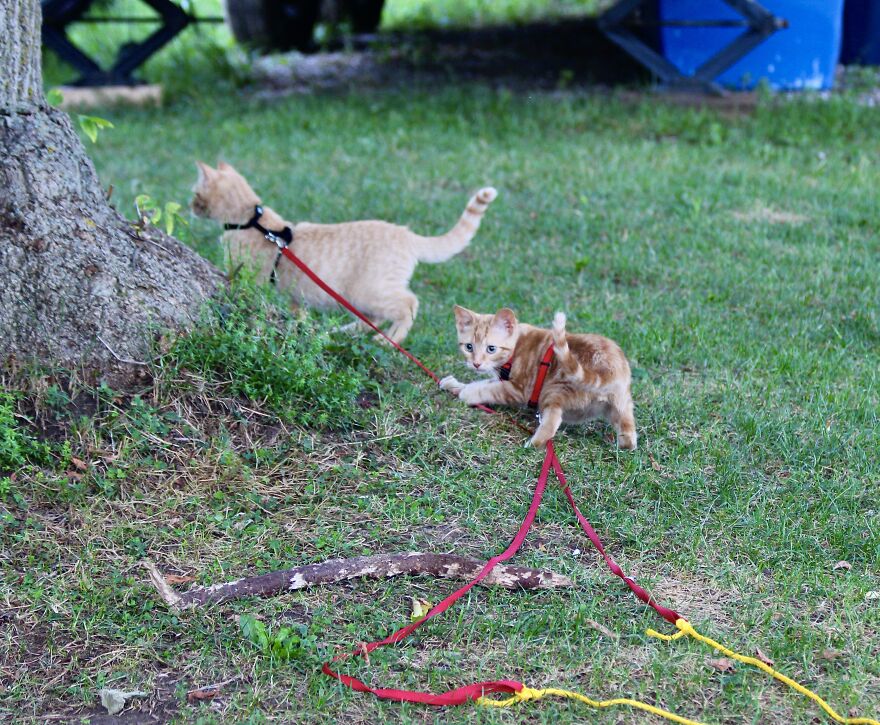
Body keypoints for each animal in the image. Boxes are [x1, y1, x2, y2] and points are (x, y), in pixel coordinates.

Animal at [192, 163, 496, 344]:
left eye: (195, 194)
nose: (191, 206)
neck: (254, 221)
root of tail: (406, 234)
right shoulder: (295, 296)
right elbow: (298, 313)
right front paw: (300, 327)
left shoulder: (248, 278)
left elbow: (240, 289)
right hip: (359, 298)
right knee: (372, 319)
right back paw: (339, 333)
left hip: (368, 291)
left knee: (408, 304)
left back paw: (387, 340)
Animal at [444, 308, 636, 450]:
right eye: (469, 347)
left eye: (491, 349)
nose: (476, 364)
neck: (516, 346)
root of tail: (608, 368)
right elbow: (484, 382)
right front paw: (454, 385)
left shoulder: (518, 389)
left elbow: (488, 388)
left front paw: (467, 393)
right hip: (621, 404)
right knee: (629, 434)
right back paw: (623, 446)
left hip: (553, 389)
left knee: (552, 422)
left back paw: (532, 444)